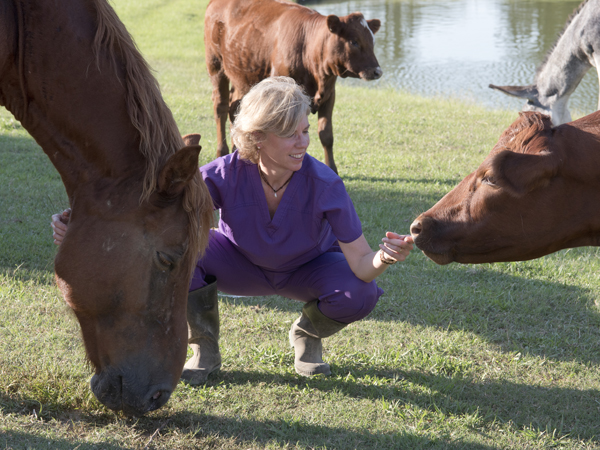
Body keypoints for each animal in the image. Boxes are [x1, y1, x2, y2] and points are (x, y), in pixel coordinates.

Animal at [204, 0, 382, 174]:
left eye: (372, 41)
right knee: (220, 107)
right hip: (216, 66)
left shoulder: (329, 94)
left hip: (242, 77)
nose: (377, 71)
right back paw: (222, 151)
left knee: (235, 108)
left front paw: (332, 169)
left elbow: (326, 135)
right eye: (354, 41)